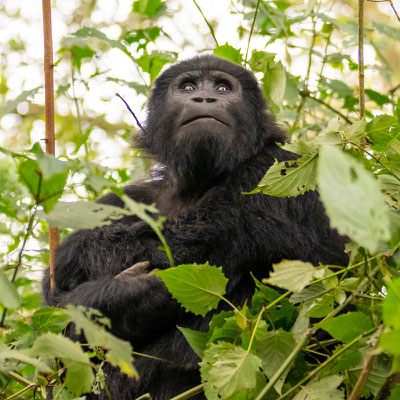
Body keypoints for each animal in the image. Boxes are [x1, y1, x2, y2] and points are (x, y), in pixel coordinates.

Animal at [41, 55, 346, 400]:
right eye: (187, 87)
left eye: (223, 88)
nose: (204, 98)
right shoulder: (128, 198)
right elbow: (54, 310)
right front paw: (124, 292)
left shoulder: (275, 168)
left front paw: (118, 292)